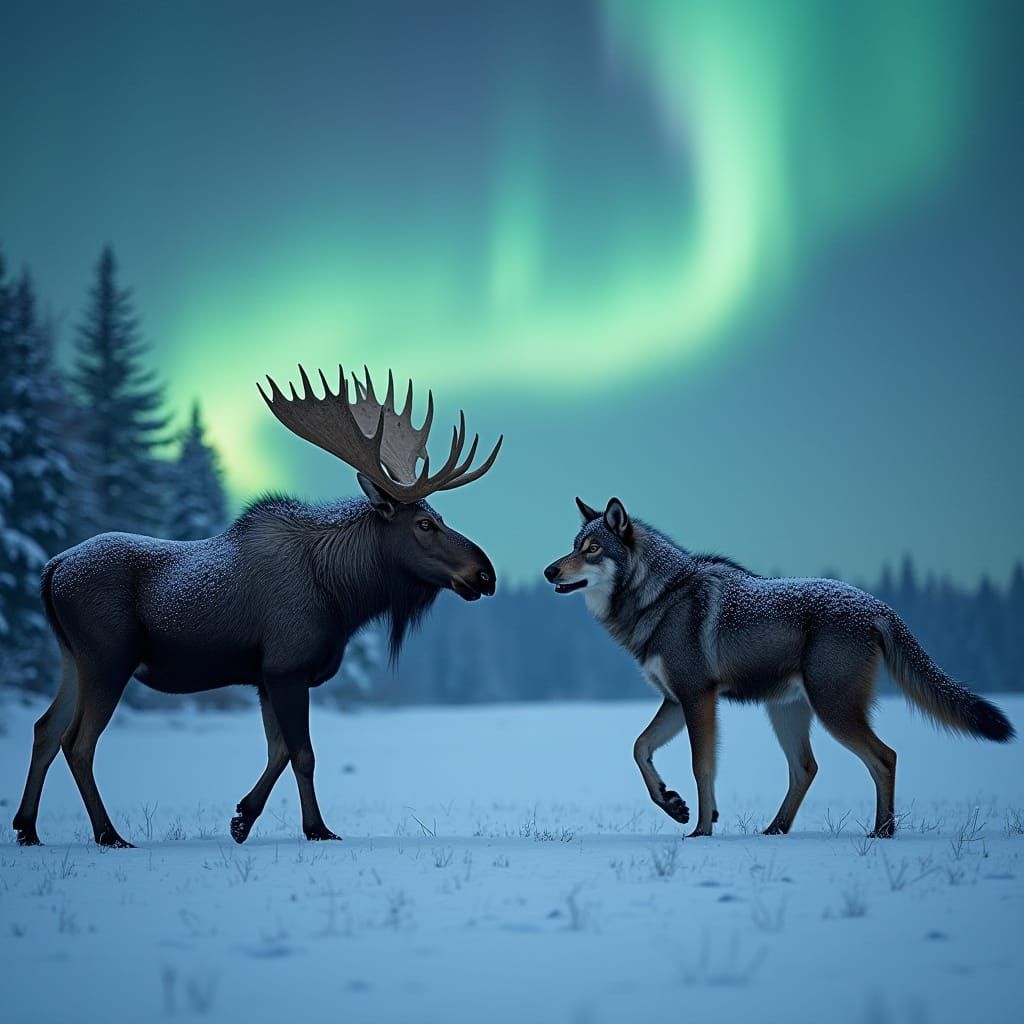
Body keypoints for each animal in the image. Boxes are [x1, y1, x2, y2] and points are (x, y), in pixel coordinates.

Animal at [13, 366, 501, 848]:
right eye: (424, 524)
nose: (486, 573)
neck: (343, 598)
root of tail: (52, 569)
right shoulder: (286, 666)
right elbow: (303, 753)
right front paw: (316, 828)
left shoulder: (265, 676)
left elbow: (279, 751)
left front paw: (242, 818)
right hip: (108, 657)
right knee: (77, 742)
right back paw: (108, 833)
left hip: (72, 656)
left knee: (44, 728)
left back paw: (27, 827)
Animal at [544, 497, 1014, 838]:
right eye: (574, 544)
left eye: (592, 549)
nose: (549, 570)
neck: (660, 597)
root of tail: (878, 605)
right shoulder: (675, 700)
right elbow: (639, 749)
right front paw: (675, 805)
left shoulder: (697, 697)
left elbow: (702, 767)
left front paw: (700, 831)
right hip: (787, 711)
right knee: (806, 768)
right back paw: (777, 828)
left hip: (832, 710)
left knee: (885, 757)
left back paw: (882, 832)